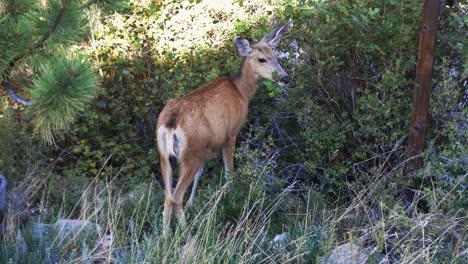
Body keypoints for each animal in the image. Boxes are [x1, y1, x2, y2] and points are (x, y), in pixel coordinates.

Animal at [155, 20, 290, 239]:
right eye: (261, 59)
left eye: (276, 56)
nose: (285, 78)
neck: (241, 91)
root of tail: (171, 123)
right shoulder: (231, 133)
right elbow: (229, 171)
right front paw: (231, 196)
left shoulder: (205, 148)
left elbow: (201, 173)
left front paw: (194, 202)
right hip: (189, 155)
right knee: (176, 197)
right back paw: (187, 234)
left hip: (166, 156)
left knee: (168, 196)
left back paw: (165, 238)